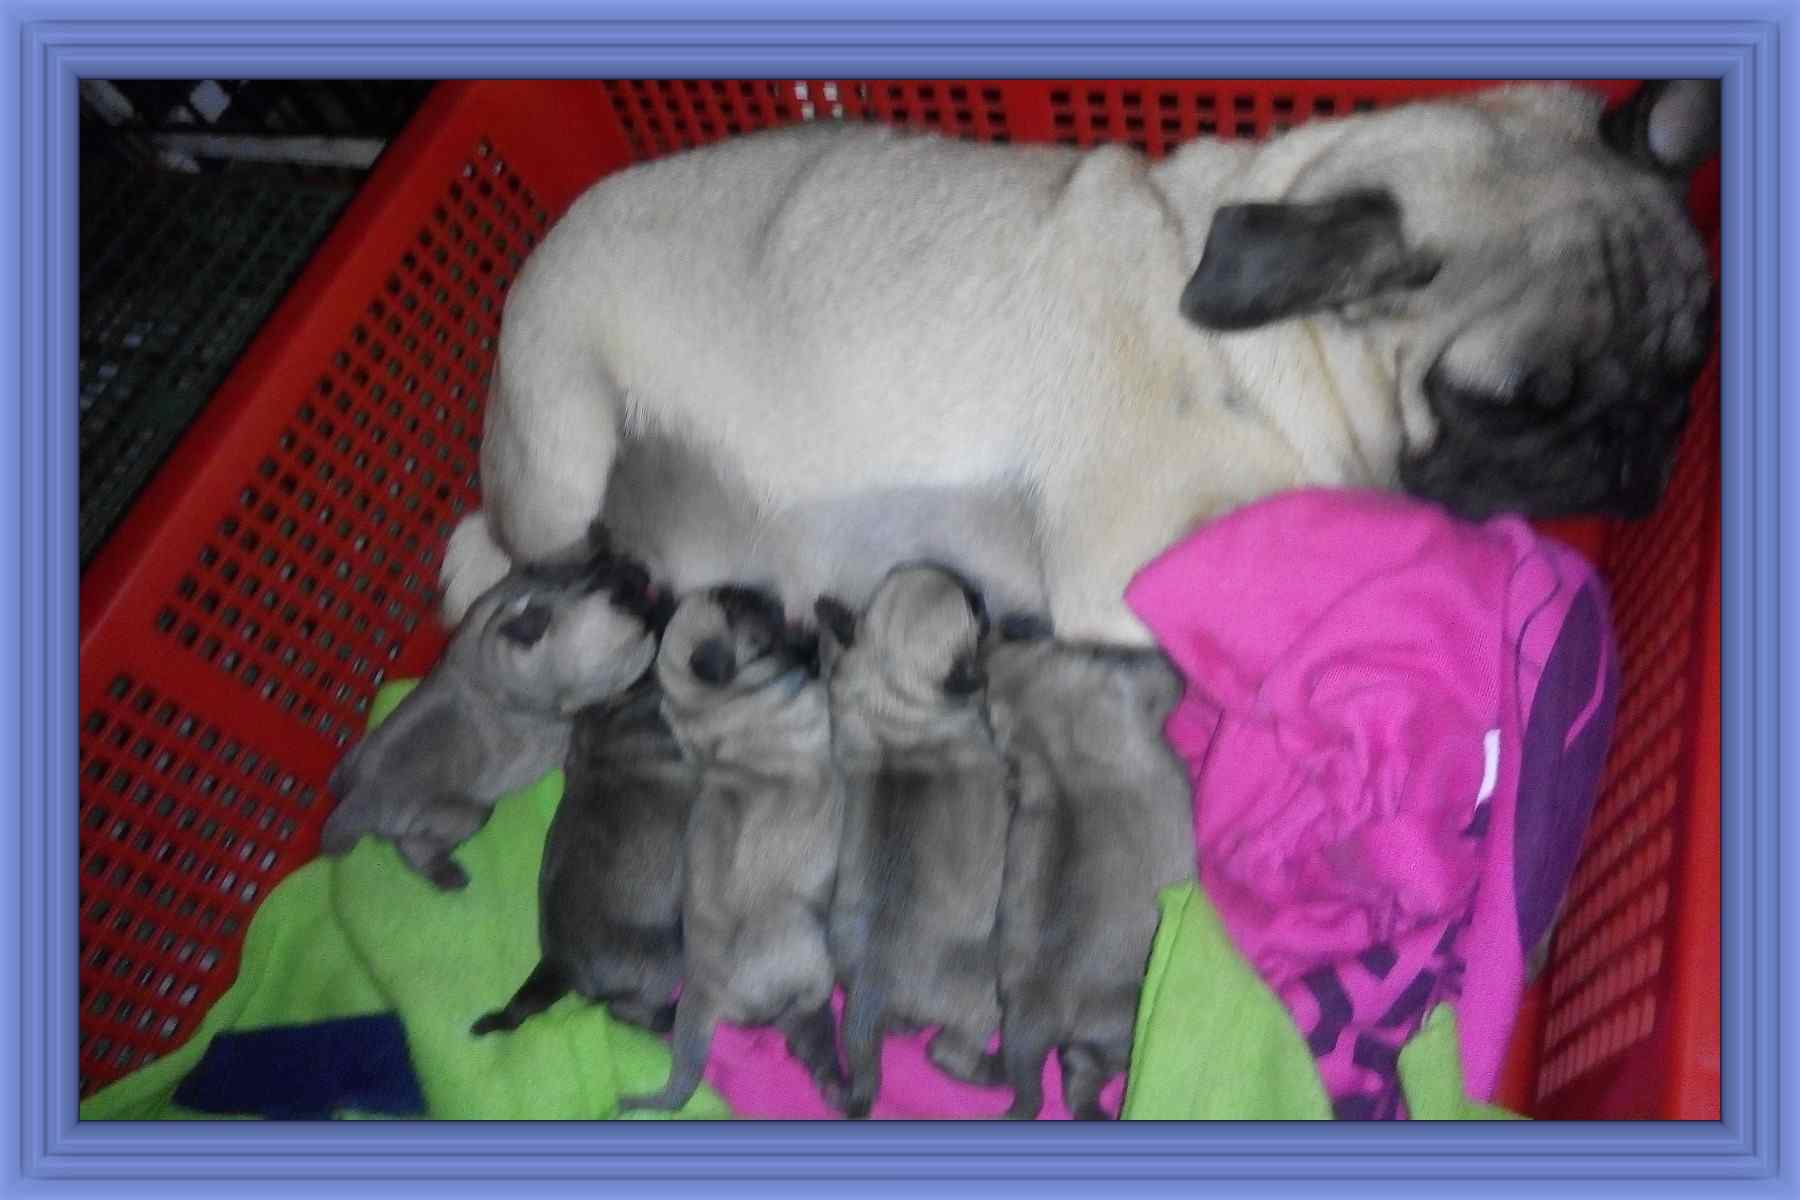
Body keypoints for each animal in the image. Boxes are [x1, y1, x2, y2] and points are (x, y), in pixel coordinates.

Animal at [319, 549, 662, 889]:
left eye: (602, 567)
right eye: (623, 596)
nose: (641, 573)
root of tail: (361, 794)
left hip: (357, 753)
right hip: (470, 814)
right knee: (413, 849)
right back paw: (449, 876)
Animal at [441, 79, 1718, 645]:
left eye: (1686, 372)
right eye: (1513, 401)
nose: (1636, 449)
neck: (1282, 361)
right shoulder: (1121, 582)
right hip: (560, 448)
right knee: (517, 532)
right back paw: (480, 563)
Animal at [617, 586, 846, 1114]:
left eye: (731, 594)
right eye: (739, 611)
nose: (769, 594)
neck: (711, 702)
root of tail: (701, 991)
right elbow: (829, 661)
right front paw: (824, 627)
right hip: (803, 933)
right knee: (807, 997)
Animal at [818, 564, 1012, 1119]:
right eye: (972, 606)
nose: (975, 585)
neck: (892, 691)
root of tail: (872, 986)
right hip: (983, 992)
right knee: (946, 1051)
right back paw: (993, 1069)